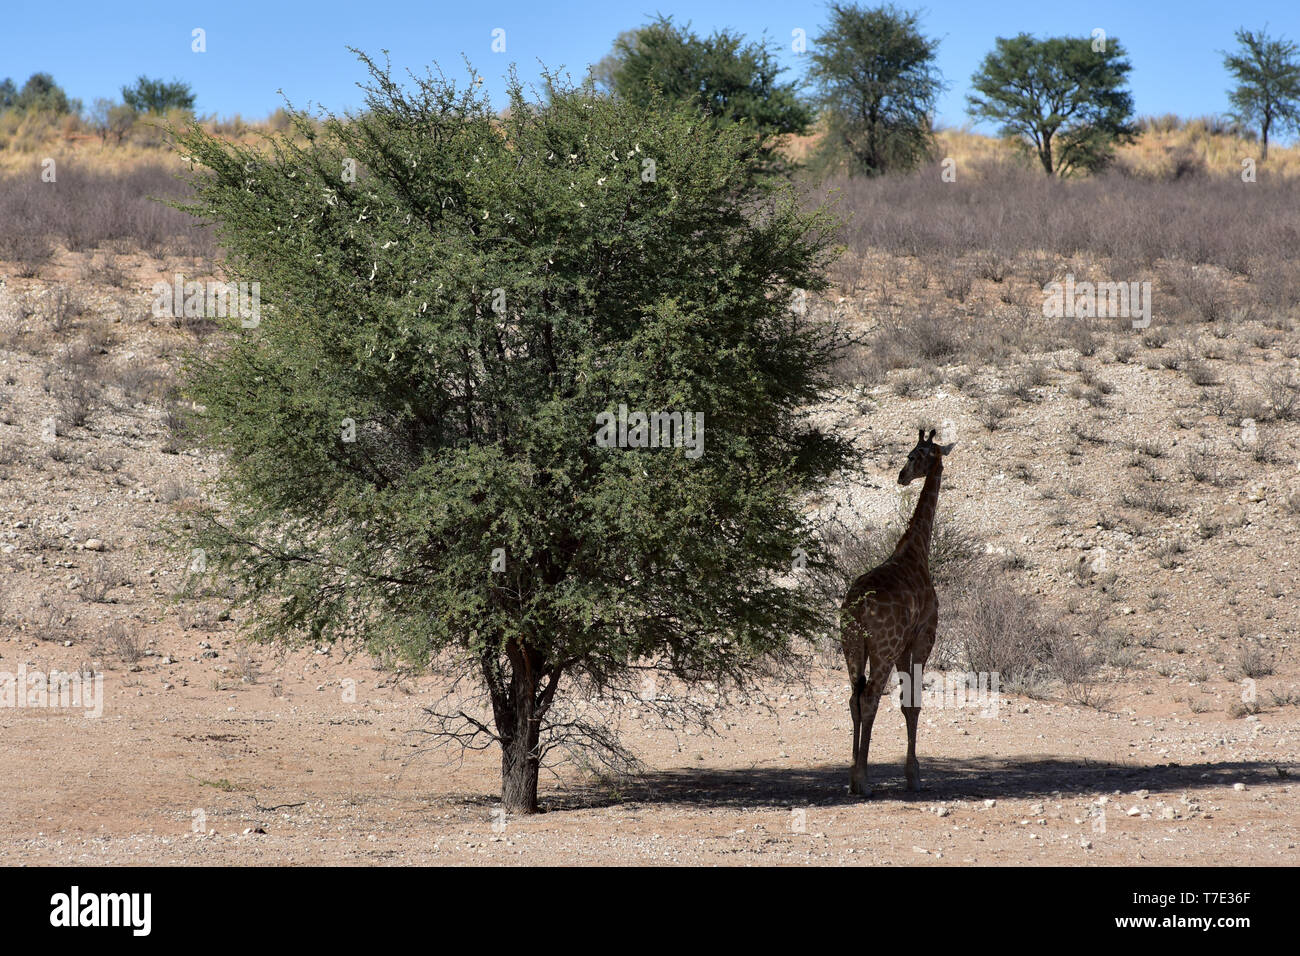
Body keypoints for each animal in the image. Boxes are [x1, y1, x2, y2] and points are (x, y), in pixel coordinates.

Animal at [840, 427, 956, 796]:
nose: (902, 476)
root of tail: (857, 609)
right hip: (882, 649)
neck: (917, 551)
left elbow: (906, 703)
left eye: (914, 455)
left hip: (851, 646)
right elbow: (913, 702)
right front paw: (914, 775)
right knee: (870, 698)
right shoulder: (921, 638)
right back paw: (862, 781)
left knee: (854, 699)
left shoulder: (905, 645)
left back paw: (853, 776)